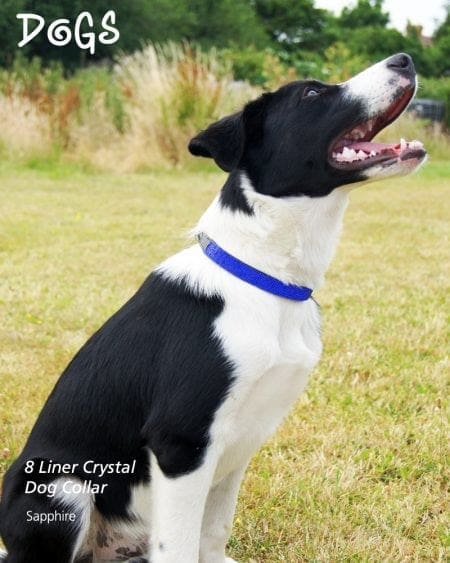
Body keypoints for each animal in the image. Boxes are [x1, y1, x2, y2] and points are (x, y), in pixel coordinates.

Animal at [0, 53, 426, 563]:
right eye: (312, 93)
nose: (404, 59)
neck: (262, 276)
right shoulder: (182, 444)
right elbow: (181, 544)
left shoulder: (241, 441)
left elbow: (214, 530)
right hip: (60, 488)